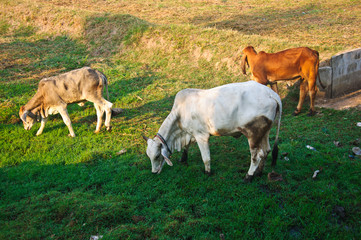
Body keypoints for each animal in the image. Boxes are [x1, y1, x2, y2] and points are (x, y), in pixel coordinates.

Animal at [143, 81, 282, 182]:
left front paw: (207, 172)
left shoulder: (201, 135)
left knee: (256, 156)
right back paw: (259, 172)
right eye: (149, 156)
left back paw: (248, 176)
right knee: (266, 151)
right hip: (265, 133)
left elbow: (206, 158)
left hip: (253, 135)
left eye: (157, 156)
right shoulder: (190, 133)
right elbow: (187, 147)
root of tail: (271, 94)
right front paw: (183, 159)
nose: (154, 172)